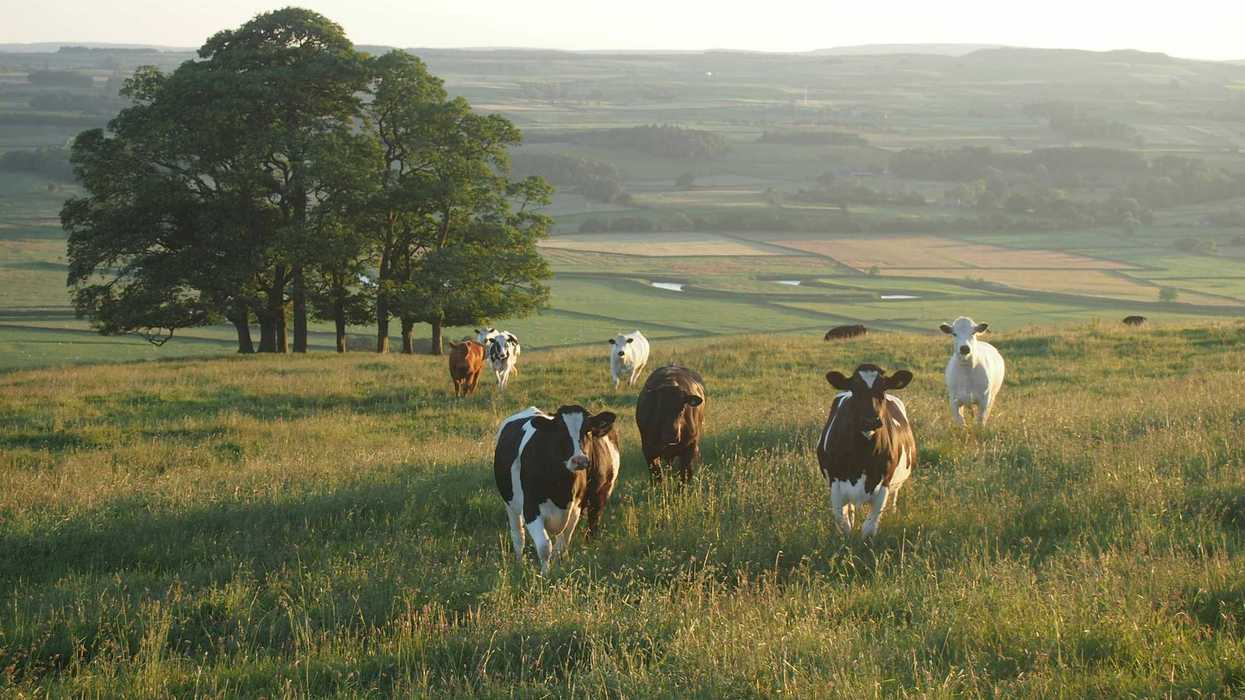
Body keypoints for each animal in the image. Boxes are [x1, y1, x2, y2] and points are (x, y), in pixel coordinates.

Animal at [494, 405, 620, 574]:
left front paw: (560, 568)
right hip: (510, 504)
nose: (579, 460)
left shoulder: (575, 509)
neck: (561, 488)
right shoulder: (530, 508)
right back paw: (519, 564)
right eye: (560, 431)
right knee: (518, 536)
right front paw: (545, 574)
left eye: (587, 430)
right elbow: (544, 546)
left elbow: (562, 545)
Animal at [817, 364, 916, 538]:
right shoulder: (835, 484)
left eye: (883, 389)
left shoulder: (884, 484)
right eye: (855, 390)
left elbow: (869, 528)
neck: (861, 455)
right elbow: (844, 524)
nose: (871, 420)